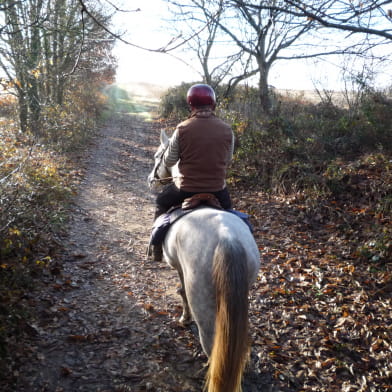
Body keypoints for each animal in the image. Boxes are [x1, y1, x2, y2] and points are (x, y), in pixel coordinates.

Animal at [147, 129, 260, 392]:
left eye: (158, 155)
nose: (150, 179)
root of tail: (228, 240)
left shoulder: (180, 269)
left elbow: (181, 292)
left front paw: (183, 318)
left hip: (204, 303)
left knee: (210, 345)